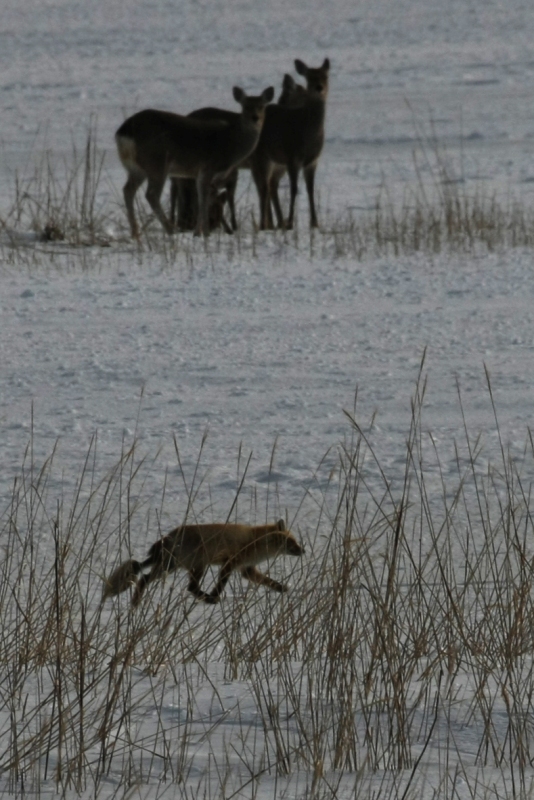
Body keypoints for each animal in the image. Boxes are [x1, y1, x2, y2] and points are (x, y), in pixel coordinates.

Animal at [103, 520, 306, 608]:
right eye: (292, 542)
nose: (303, 551)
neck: (255, 543)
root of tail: (167, 538)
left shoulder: (247, 570)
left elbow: (269, 582)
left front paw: (284, 589)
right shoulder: (230, 563)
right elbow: (220, 585)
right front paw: (215, 596)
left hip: (177, 567)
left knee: (145, 578)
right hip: (191, 566)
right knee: (187, 587)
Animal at [117, 87, 276, 239]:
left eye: (261, 106)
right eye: (245, 106)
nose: (255, 118)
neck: (231, 146)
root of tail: (123, 132)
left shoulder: (200, 174)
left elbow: (201, 199)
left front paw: (198, 232)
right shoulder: (208, 167)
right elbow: (204, 199)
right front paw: (204, 232)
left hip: (137, 169)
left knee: (127, 190)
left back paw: (135, 232)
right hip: (157, 162)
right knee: (151, 194)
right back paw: (170, 230)